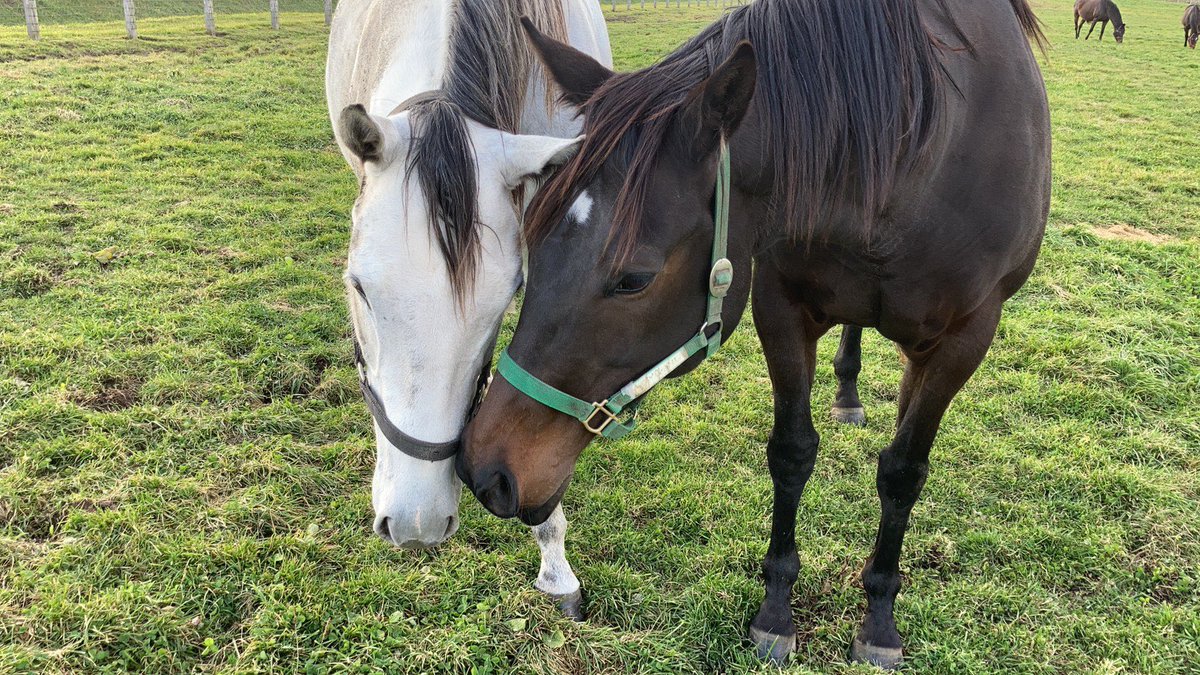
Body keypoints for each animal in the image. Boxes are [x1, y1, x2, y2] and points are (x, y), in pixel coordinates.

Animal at [458, 0, 1051, 662]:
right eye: (529, 238)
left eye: (635, 279)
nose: (485, 471)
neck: (916, 158)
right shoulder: (781, 305)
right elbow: (791, 453)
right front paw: (776, 611)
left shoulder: (962, 341)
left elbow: (903, 472)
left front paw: (878, 621)